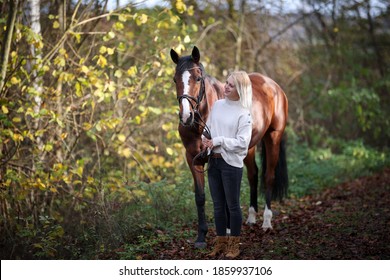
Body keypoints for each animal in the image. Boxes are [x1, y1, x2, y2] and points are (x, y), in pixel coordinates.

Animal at [169, 46, 288, 249]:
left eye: (198, 79)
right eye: (175, 79)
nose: (186, 117)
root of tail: (274, 86)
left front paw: (227, 230)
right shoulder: (193, 158)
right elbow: (200, 197)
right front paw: (201, 237)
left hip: (273, 138)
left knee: (268, 177)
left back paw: (266, 221)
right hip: (248, 147)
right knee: (253, 174)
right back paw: (251, 218)